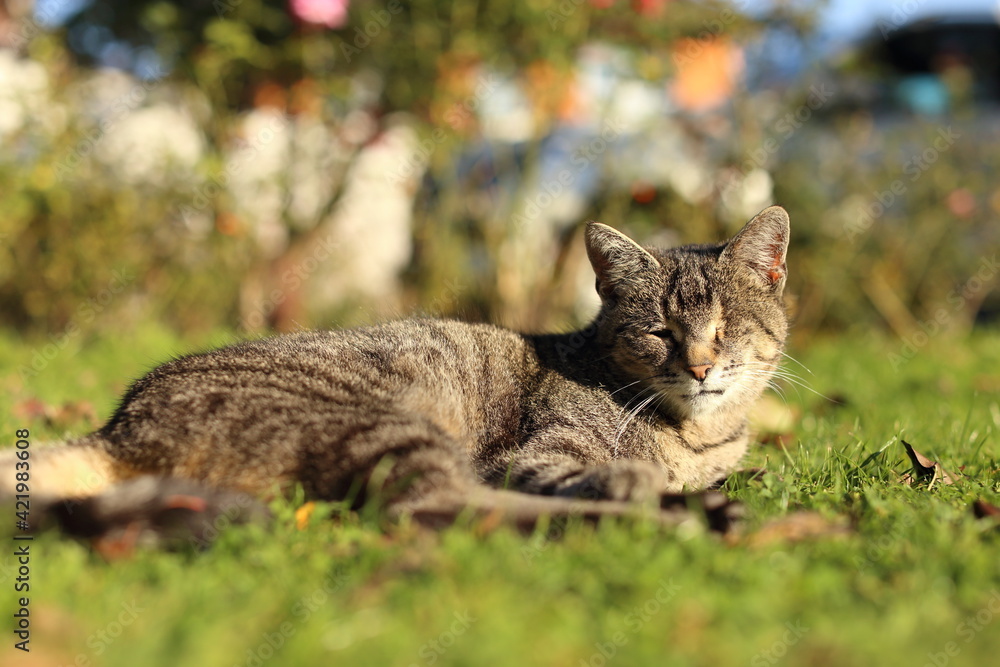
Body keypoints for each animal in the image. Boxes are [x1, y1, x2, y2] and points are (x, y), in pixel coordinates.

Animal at [5, 206, 788, 544]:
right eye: (660, 332)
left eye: (726, 328)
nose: (700, 365)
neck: (699, 436)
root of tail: (119, 426)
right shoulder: (537, 455)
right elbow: (600, 472)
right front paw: (654, 488)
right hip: (389, 426)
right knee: (442, 510)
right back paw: (677, 520)